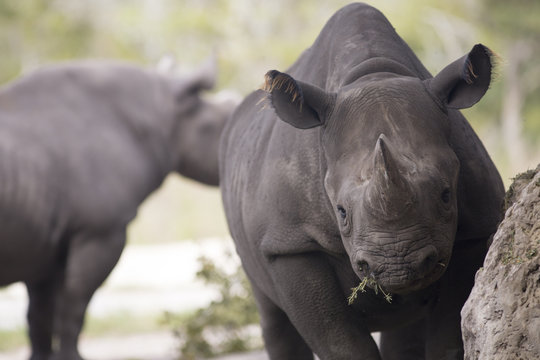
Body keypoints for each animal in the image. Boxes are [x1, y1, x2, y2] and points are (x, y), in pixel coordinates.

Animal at [0, 59, 236, 360]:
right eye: (223, 124)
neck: (163, 112)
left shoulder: (44, 244)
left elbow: (40, 314)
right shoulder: (101, 231)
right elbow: (75, 302)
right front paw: (73, 357)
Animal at [219, 3, 506, 360]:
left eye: (445, 195)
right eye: (341, 211)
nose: (399, 264)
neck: (374, 73)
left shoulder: (475, 228)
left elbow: (450, 335)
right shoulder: (289, 243)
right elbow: (340, 342)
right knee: (272, 315)